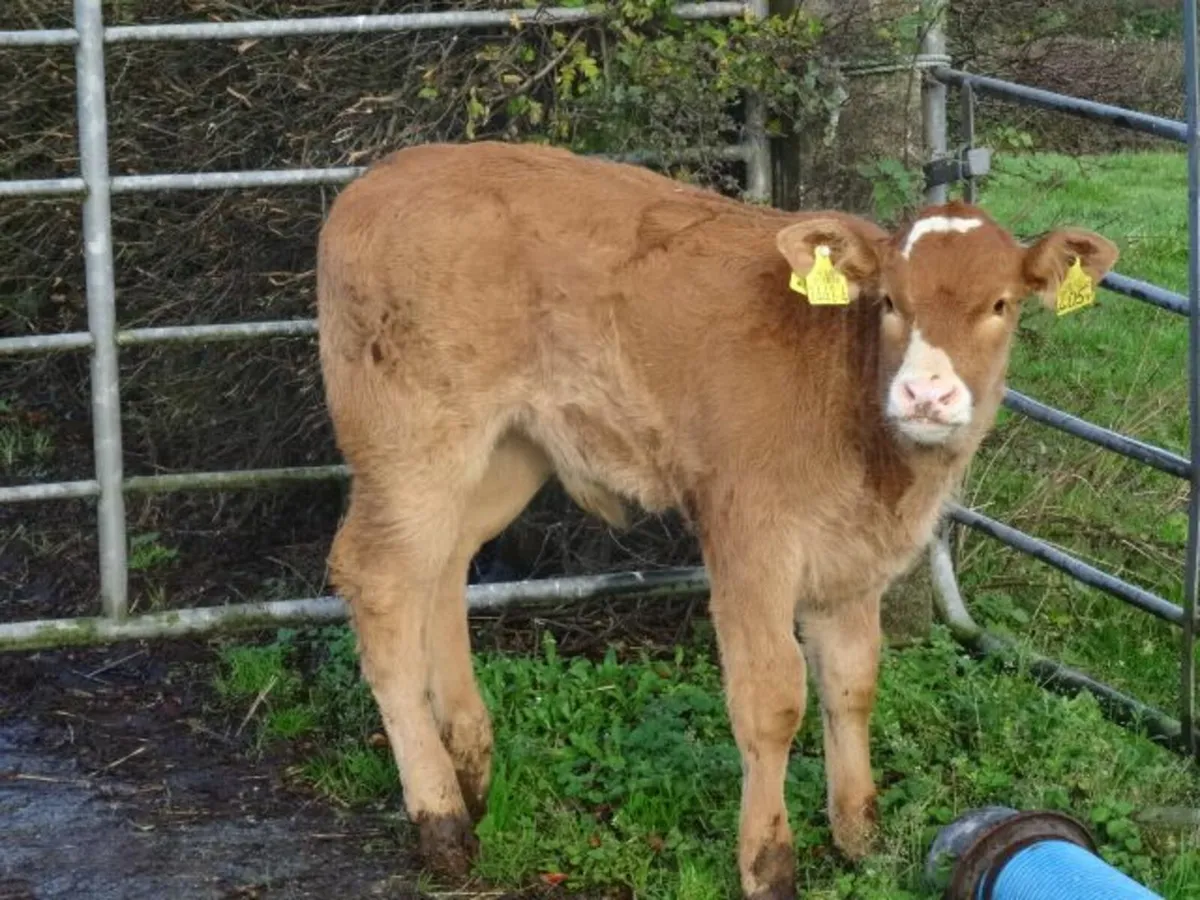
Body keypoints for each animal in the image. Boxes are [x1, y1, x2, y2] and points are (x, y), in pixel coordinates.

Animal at [315, 140, 1117, 899]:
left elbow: (853, 679)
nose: (926, 395)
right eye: (890, 301)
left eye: (1001, 305)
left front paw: (859, 837)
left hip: (504, 451)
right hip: (410, 440)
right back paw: (442, 820)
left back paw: (471, 768)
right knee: (379, 579)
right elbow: (773, 699)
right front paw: (769, 865)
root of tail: (382, 177)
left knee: (442, 567)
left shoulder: (853, 557)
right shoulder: (750, 536)